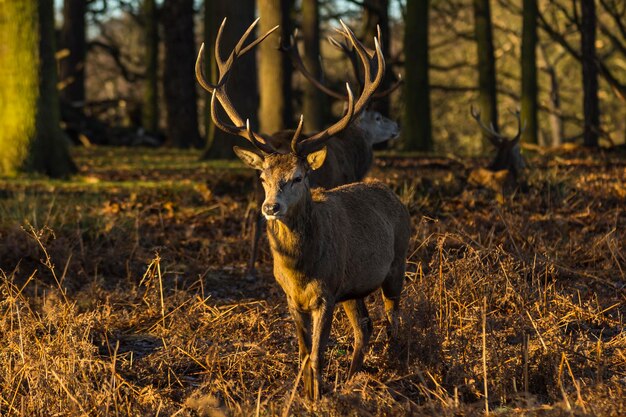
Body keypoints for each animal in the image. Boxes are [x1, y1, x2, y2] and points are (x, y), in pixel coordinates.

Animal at [195, 18, 410, 400]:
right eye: (263, 176)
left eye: (298, 176)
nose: (271, 206)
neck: (299, 269)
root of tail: (391, 193)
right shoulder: (293, 298)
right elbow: (303, 351)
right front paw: (305, 394)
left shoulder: (327, 292)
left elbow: (318, 354)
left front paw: (318, 398)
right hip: (353, 285)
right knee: (365, 326)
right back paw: (352, 378)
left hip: (397, 262)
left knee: (392, 317)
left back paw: (392, 363)